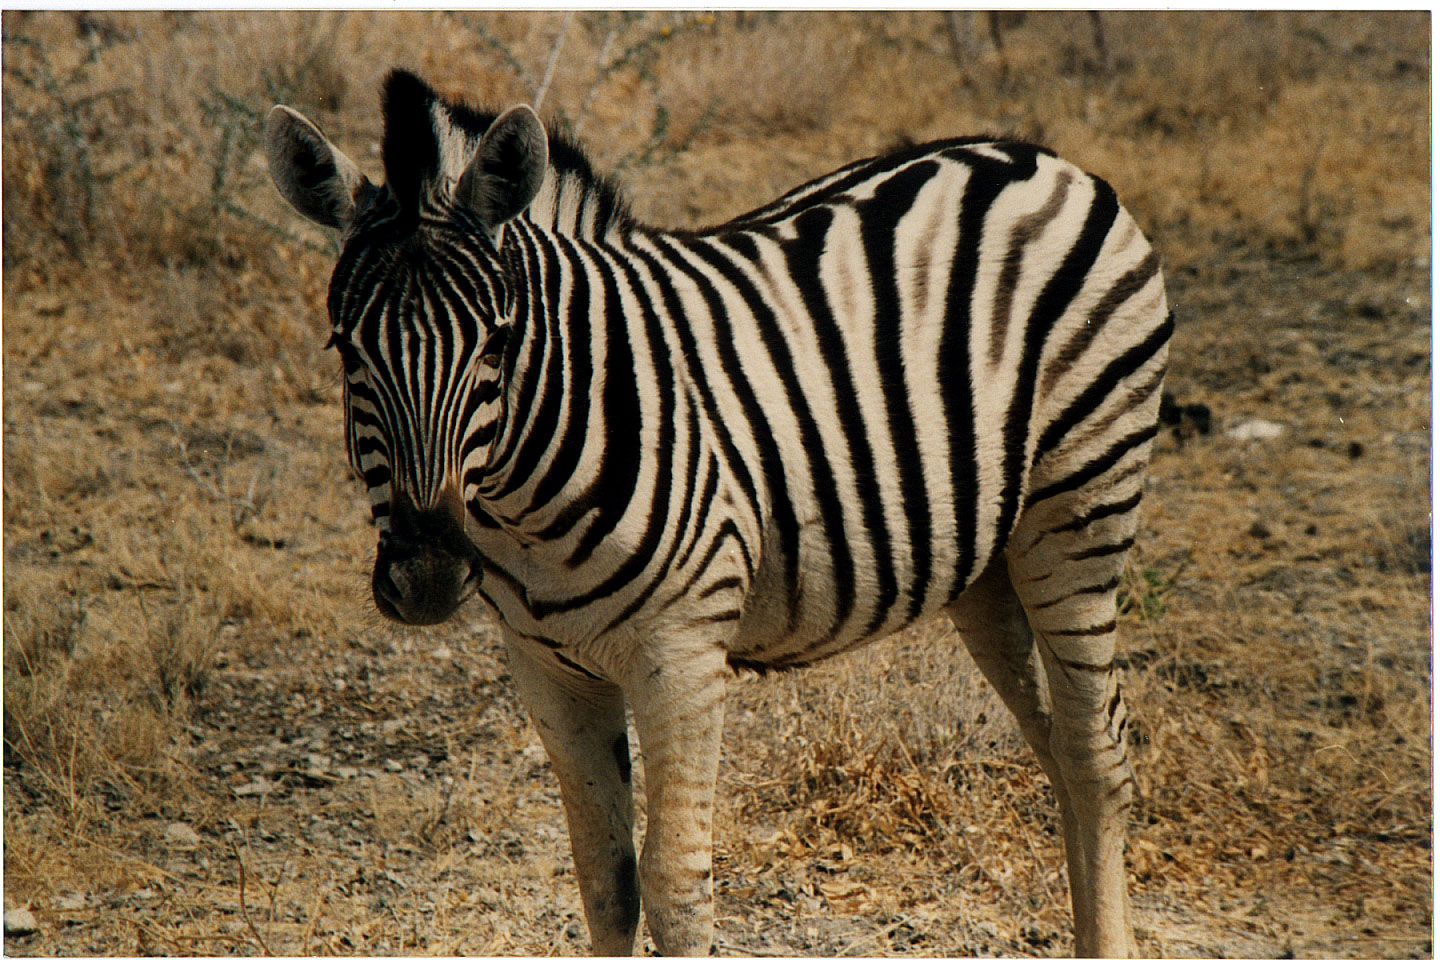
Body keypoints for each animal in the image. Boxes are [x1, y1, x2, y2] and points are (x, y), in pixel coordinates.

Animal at [267, 71, 1169, 955]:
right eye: (344, 349)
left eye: (497, 342)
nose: (424, 575)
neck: (525, 511)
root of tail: (1034, 155)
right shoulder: (546, 668)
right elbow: (605, 882)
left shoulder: (683, 655)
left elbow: (675, 890)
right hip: (986, 561)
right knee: (1056, 746)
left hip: (1081, 505)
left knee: (1096, 760)